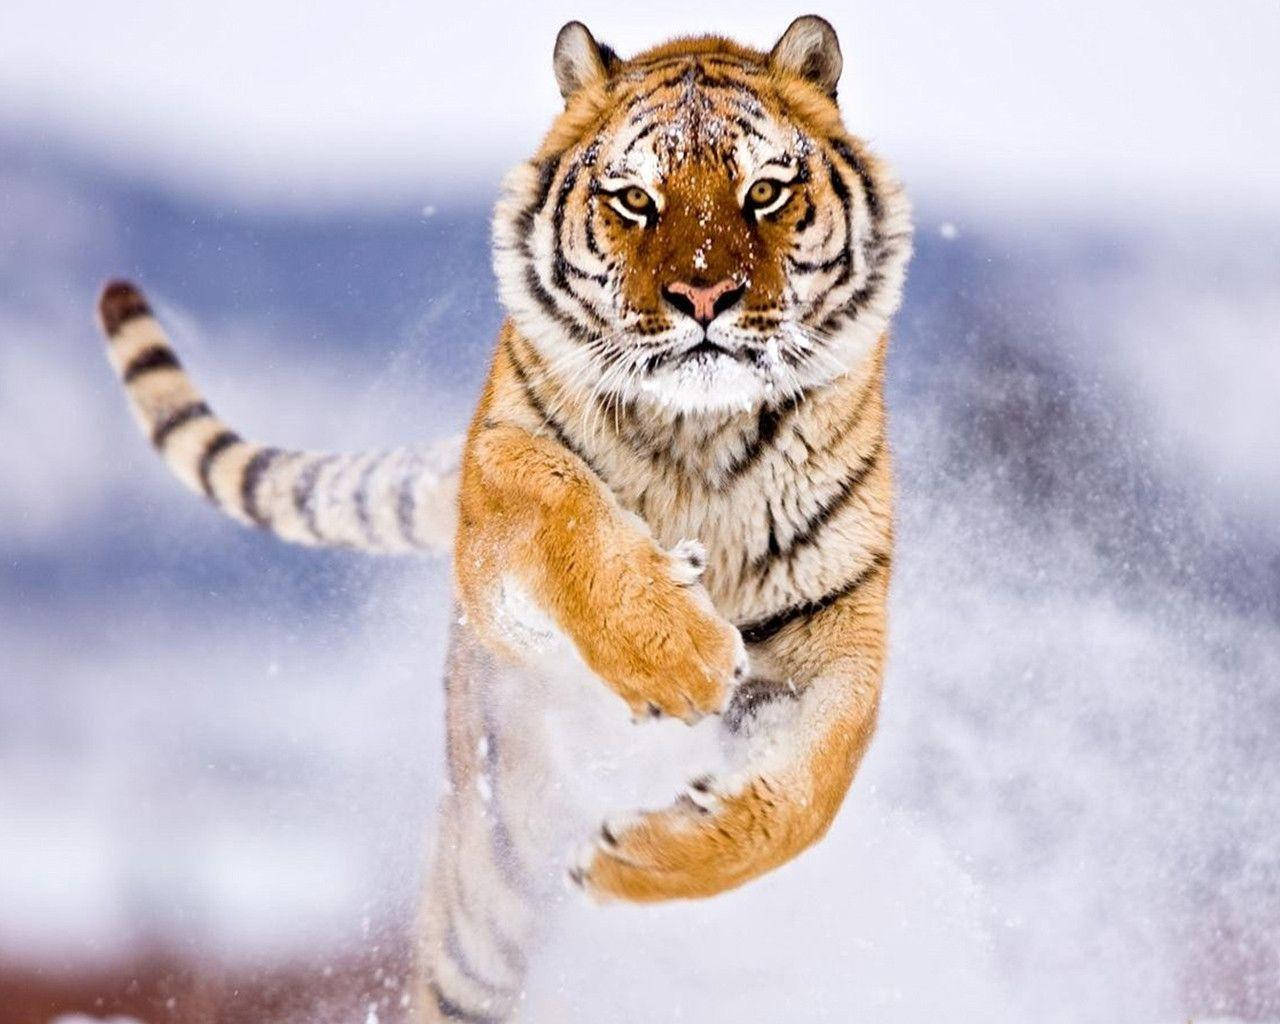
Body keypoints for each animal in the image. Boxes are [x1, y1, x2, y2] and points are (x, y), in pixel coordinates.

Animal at [94, 14, 911, 1022]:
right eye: (634, 199)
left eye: (765, 190)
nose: (704, 296)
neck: (699, 435)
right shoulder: (497, 506)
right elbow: (561, 503)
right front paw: (680, 655)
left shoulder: (837, 624)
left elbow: (809, 794)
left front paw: (638, 858)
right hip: (486, 893)